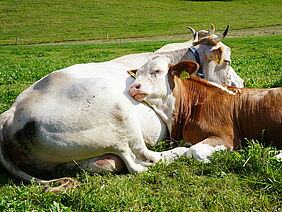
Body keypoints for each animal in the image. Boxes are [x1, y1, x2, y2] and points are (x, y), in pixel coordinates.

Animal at [0, 25, 242, 192]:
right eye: (227, 61)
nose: (240, 84)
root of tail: (10, 114)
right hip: (121, 116)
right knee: (142, 161)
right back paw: (180, 151)